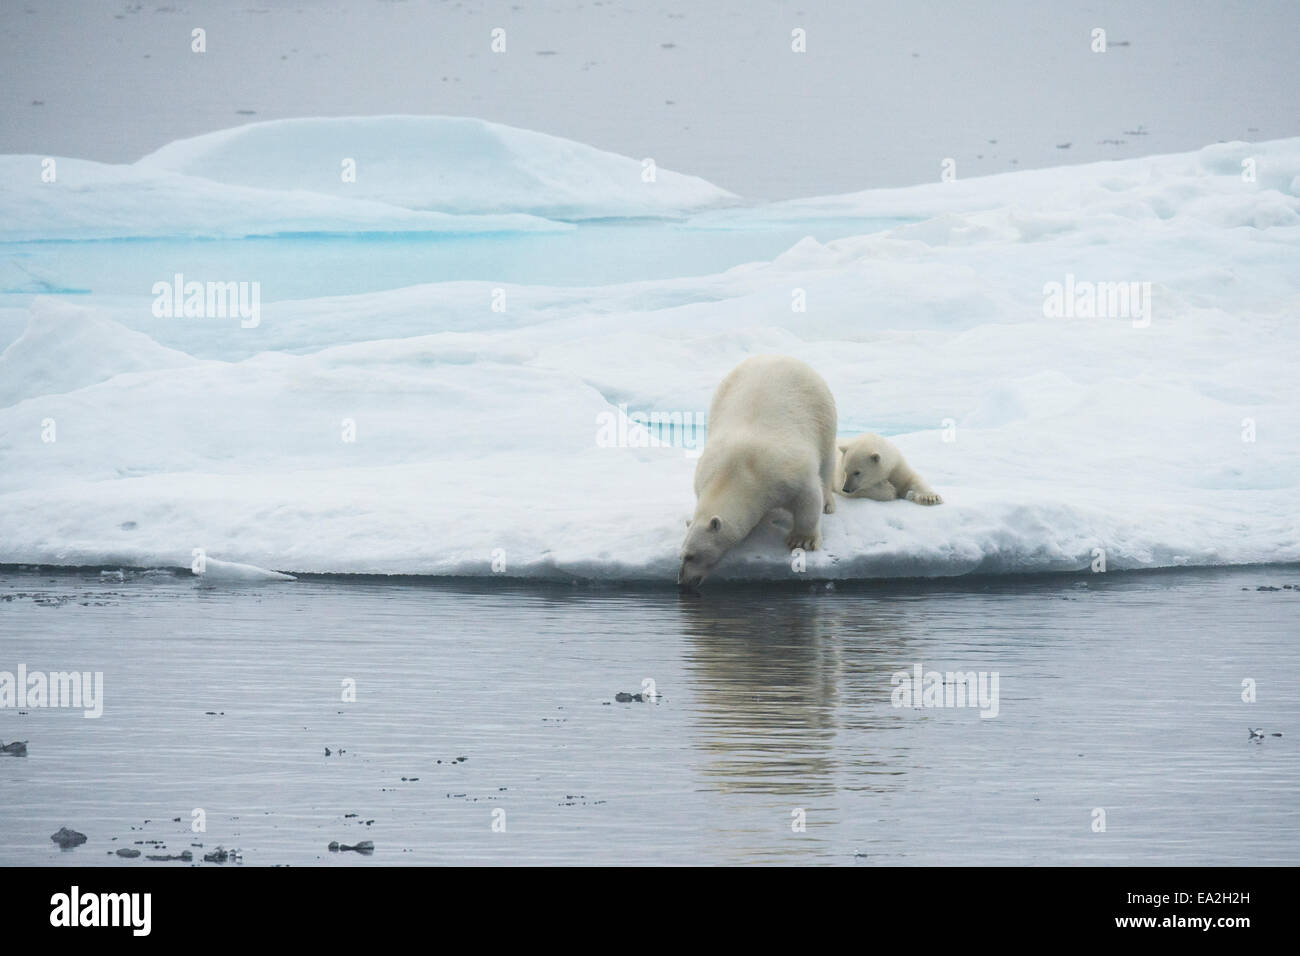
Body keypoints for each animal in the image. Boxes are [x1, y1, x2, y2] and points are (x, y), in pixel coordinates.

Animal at [676, 356, 837, 587]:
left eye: (692, 556)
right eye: (680, 555)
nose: (682, 581)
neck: (736, 471)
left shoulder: (785, 470)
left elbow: (808, 497)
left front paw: (802, 540)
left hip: (821, 409)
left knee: (826, 461)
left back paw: (828, 502)